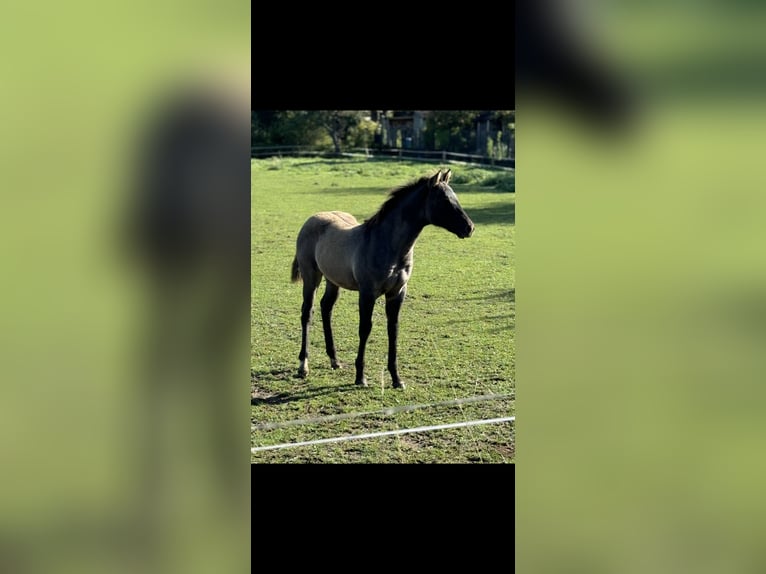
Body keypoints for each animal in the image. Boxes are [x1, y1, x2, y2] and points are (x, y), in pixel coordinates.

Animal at [292, 169, 474, 390]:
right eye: (444, 200)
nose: (469, 227)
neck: (388, 245)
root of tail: (311, 219)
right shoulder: (367, 293)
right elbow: (365, 329)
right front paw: (360, 377)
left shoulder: (397, 293)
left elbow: (393, 330)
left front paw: (397, 379)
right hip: (311, 277)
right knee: (307, 313)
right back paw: (303, 366)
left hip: (332, 280)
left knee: (326, 308)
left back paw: (334, 360)